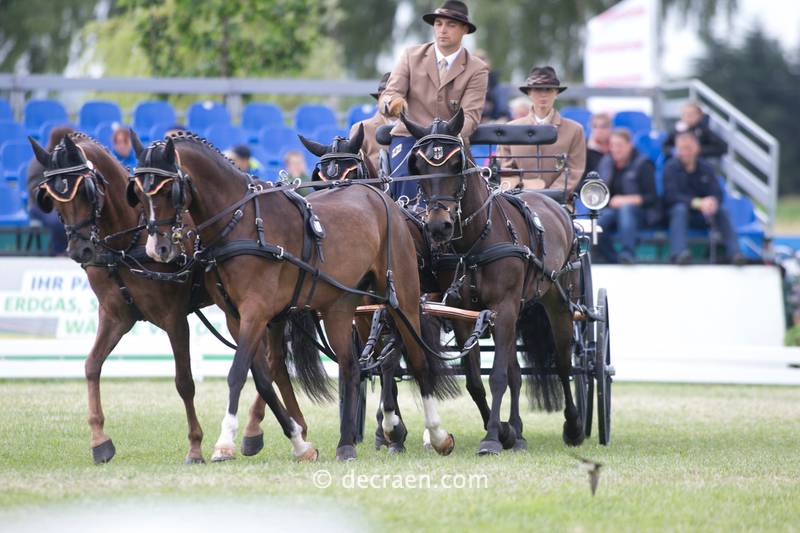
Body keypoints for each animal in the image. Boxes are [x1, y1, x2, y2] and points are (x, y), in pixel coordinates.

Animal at [132, 130, 457, 461]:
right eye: (138, 192)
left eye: (168, 190)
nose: (158, 248)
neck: (242, 222)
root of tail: (383, 199)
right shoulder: (237, 317)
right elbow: (263, 378)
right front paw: (299, 443)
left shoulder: (256, 312)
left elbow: (237, 373)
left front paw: (225, 442)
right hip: (342, 306)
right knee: (352, 366)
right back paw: (347, 444)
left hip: (402, 294)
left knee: (416, 359)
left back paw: (436, 435)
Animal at [400, 109, 585, 455]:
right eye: (417, 167)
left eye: (456, 164)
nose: (439, 226)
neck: (475, 242)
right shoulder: (463, 313)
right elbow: (476, 381)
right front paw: (503, 431)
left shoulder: (505, 306)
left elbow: (497, 375)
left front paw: (491, 439)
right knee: (516, 373)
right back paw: (518, 432)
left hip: (558, 302)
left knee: (564, 363)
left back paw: (574, 426)